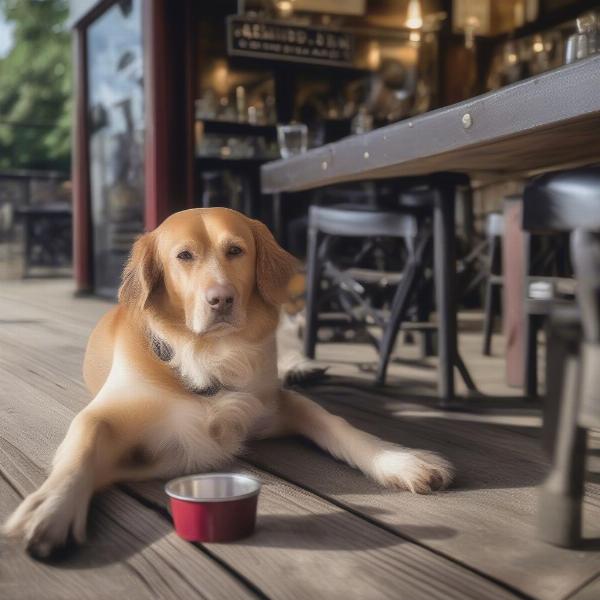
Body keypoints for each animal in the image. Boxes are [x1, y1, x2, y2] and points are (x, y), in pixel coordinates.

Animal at [2, 209, 452, 556]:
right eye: (184, 256)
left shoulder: (276, 403)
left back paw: (302, 367)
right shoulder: (108, 413)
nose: (221, 299)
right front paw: (51, 508)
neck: (207, 355)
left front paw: (402, 461)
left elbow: (337, 424)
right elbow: (83, 444)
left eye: (235, 250)